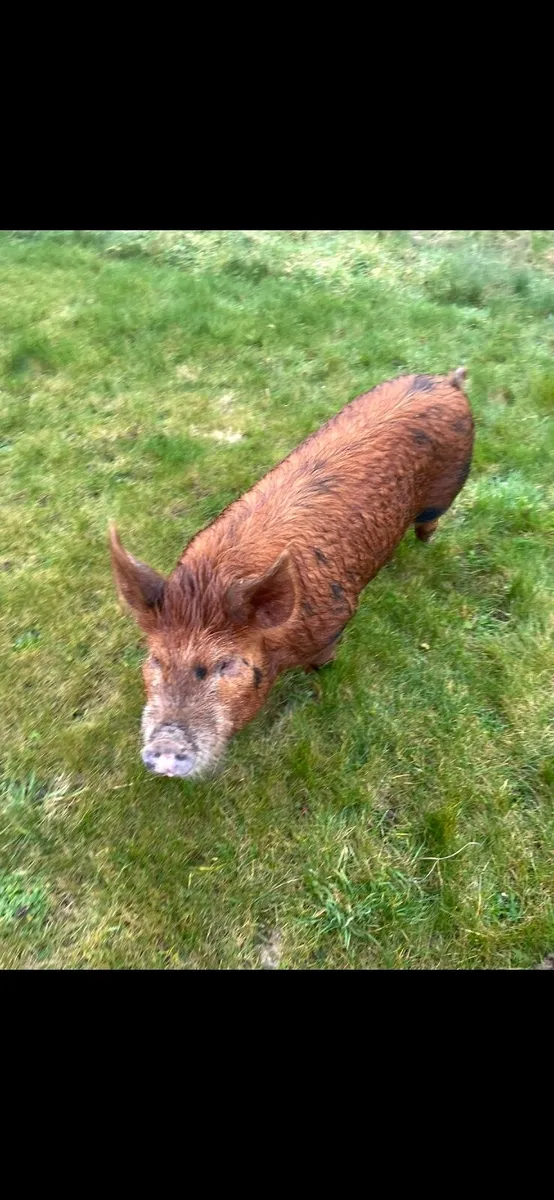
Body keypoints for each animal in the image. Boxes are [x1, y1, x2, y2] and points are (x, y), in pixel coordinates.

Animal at [110, 367, 474, 779]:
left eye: (226, 664)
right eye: (156, 659)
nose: (167, 745)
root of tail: (446, 381)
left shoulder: (336, 617)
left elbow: (325, 659)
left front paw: (323, 673)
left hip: (448, 488)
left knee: (430, 521)